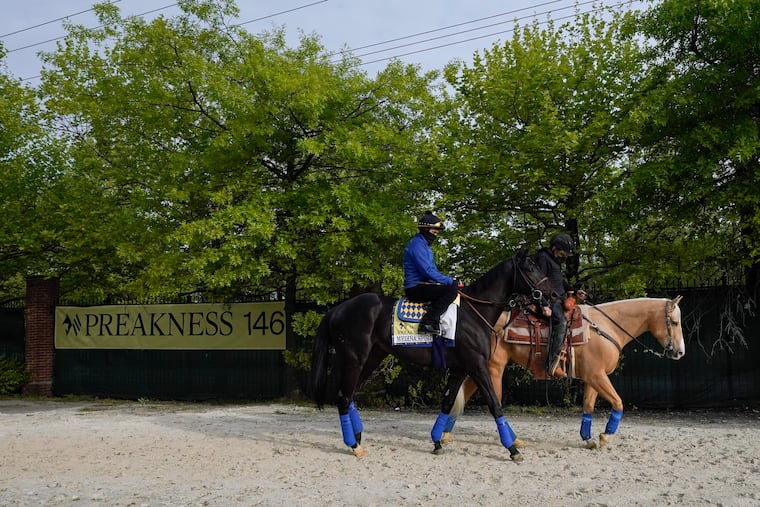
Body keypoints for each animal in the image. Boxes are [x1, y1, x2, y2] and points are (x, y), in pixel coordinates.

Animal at [310, 251, 547, 461]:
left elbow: (448, 402)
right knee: (343, 397)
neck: (474, 313)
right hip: (355, 359)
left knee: (349, 395)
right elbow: (494, 404)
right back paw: (354, 445)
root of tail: (338, 309)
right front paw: (512, 449)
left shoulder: (461, 368)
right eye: (530, 268)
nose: (550, 295)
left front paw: (437, 441)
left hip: (371, 357)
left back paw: (358, 437)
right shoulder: (477, 365)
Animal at [443, 296, 686, 449]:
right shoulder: (597, 376)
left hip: (480, 369)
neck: (606, 327)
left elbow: (588, 406)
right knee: (495, 401)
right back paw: (512, 441)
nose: (680, 352)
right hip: (494, 369)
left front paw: (589, 439)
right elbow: (618, 403)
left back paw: (445, 435)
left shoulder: (592, 377)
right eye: (674, 322)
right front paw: (605, 436)